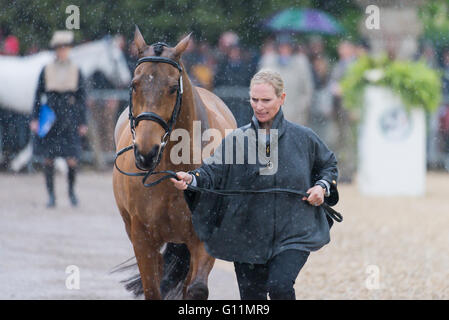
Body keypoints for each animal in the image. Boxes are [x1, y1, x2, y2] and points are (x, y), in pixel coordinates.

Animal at [112, 27, 236, 300]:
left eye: (171, 88)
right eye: (134, 85)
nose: (146, 152)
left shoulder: (202, 237)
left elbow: (196, 289)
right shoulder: (143, 238)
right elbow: (153, 289)